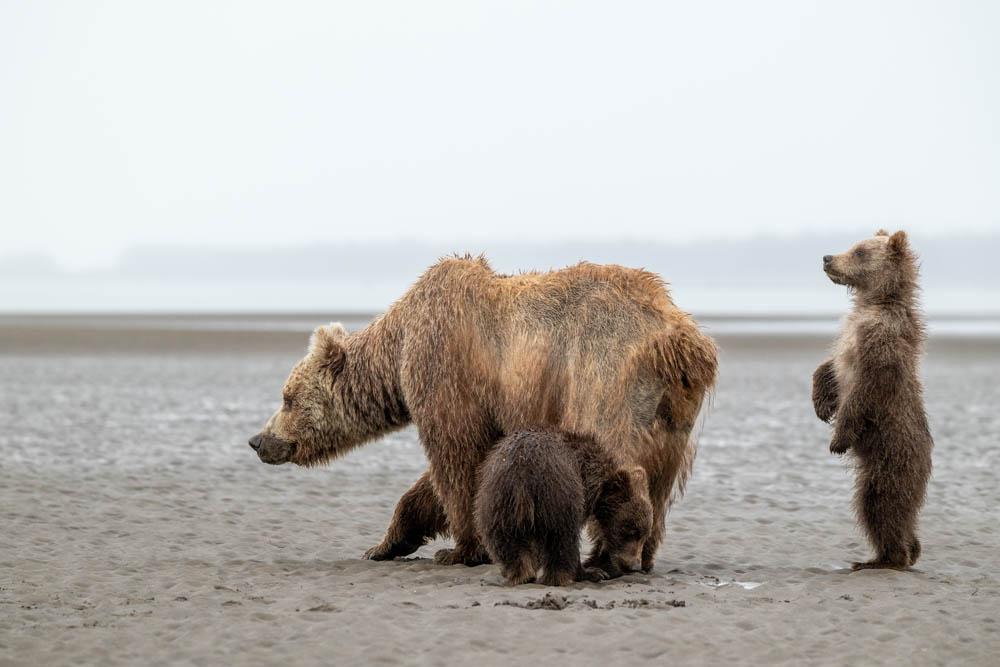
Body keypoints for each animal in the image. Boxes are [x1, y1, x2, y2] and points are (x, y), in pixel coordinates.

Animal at [474, 429, 654, 586]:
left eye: (644, 535)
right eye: (631, 531)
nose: (633, 566)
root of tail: (522, 474)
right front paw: (595, 571)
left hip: (496, 500)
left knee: (505, 539)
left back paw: (522, 574)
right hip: (557, 495)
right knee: (563, 539)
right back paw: (571, 575)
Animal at [812, 230, 933, 570]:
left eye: (859, 252)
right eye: (853, 245)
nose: (827, 257)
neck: (874, 302)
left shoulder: (879, 343)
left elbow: (862, 391)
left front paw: (837, 439)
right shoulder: (849, 333)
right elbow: (828, 367)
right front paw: (820, 403)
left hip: (892, 460)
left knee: (879, 505)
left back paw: (885, 559)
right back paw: (907, 549)